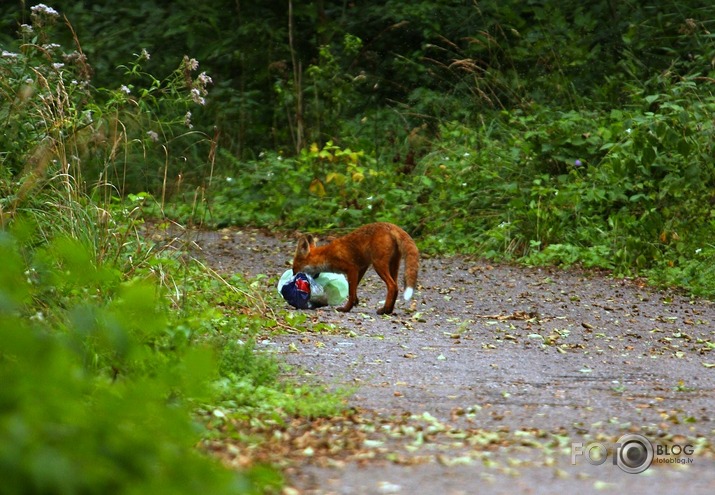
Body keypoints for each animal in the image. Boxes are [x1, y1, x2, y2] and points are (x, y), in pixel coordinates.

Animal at [292, 224, 420, 316]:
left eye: (294, 268)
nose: (293, 276)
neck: (327, 255)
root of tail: (392, 225)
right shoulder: (361, 268)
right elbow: (354, 289)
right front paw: (355, 302)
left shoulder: (352, 268)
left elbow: (351, 292)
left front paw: (346, 308)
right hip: (393, 265)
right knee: (396, 287)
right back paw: (388, 310)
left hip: (378, 265)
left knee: (392, 286)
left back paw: (385, 309)